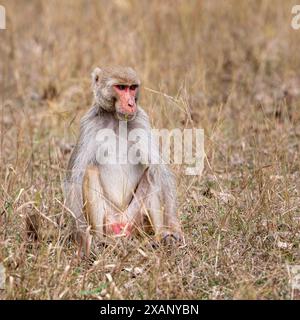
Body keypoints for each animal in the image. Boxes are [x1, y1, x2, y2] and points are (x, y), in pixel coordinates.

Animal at [63, 65, 183, 255]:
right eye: (120, 87)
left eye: (132, 88)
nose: (131, 104)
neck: (115, 118)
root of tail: (121, 223)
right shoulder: (89, 123)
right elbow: (74, 178)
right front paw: (83, 238)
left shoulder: (142, 120)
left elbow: (160, 170)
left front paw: (174, 228)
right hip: (109, 220)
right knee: (90, 171)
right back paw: (100, 240)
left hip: (136, 219)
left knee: (152, 175)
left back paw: (159, 238)